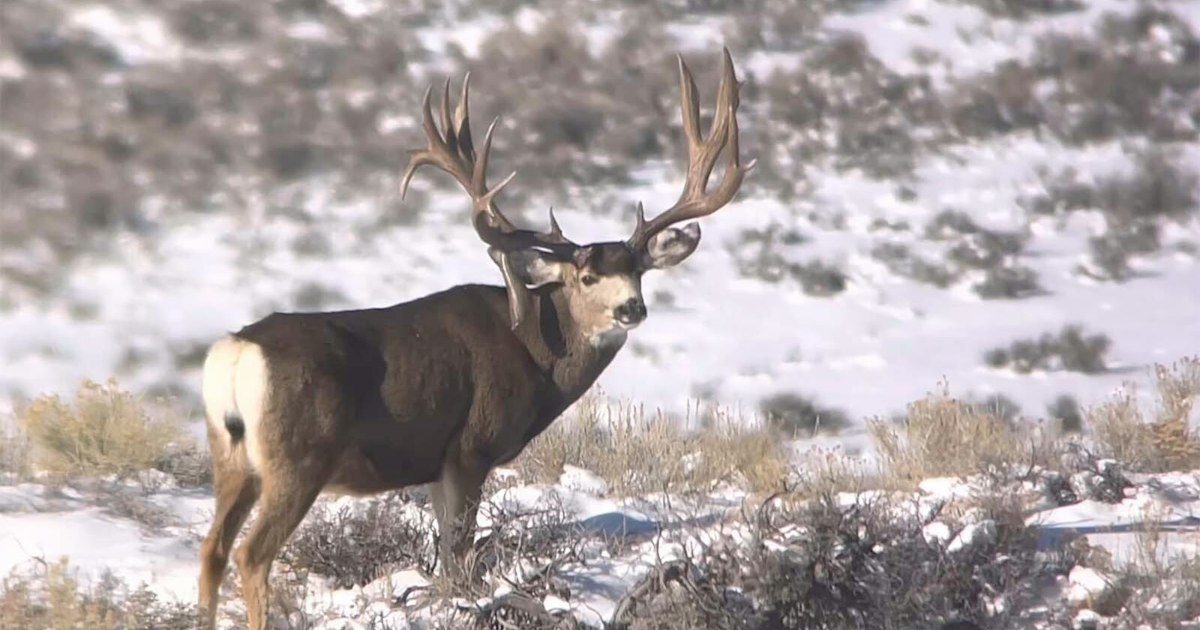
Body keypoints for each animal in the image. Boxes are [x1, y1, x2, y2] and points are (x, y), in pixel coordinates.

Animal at [196, 48, 752, 630]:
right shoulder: (470, 446)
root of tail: (236, 353)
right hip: (299, 456)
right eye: (586, 277)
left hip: (231, 456)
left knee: (212, 550)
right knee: (250, 554)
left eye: (639, 271)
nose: (632, 308)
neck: (536, 351)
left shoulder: (438, 464)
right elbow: (457, 559)